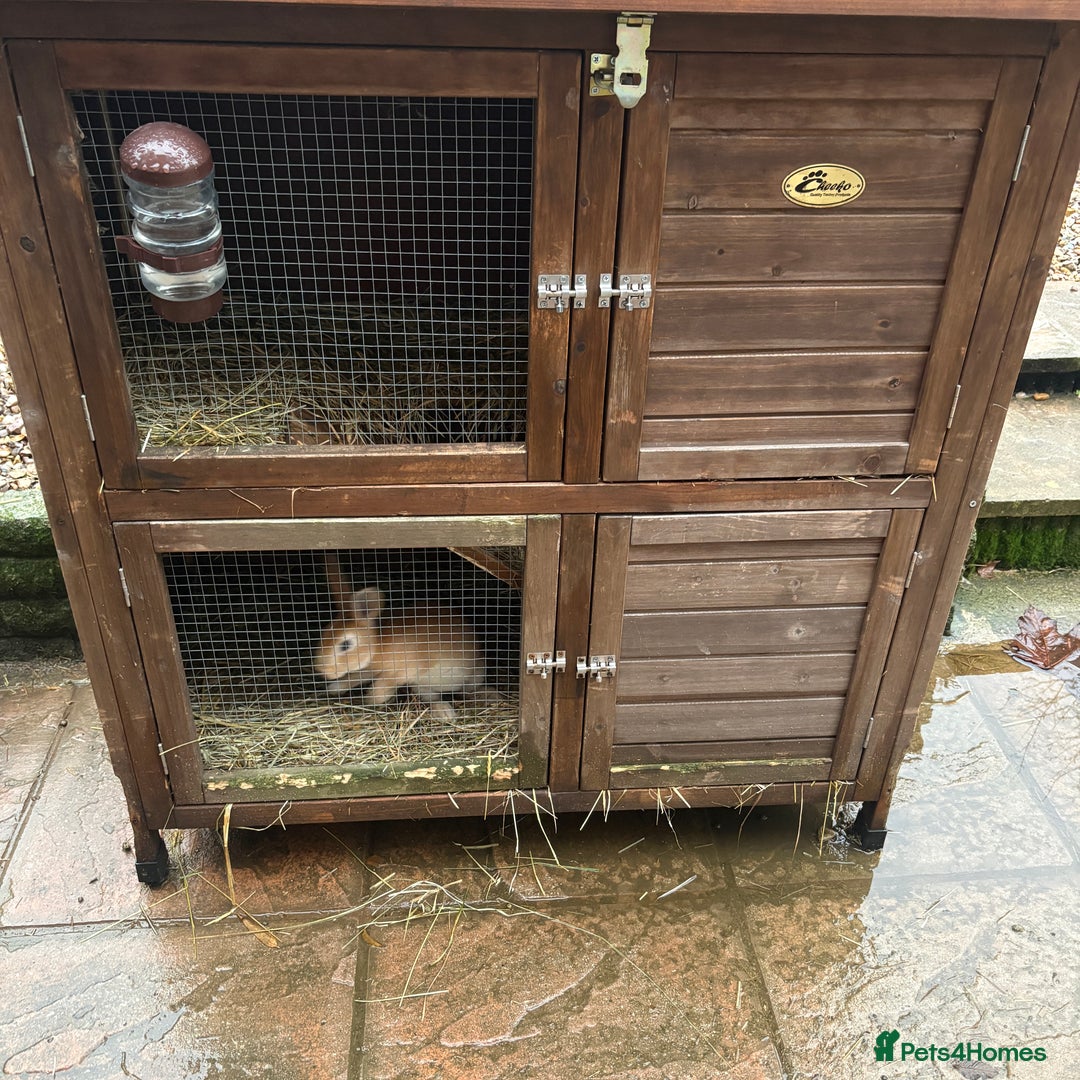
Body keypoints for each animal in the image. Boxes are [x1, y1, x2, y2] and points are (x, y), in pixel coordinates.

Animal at [315, 556, 486, 719]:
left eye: (345, 644)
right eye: (325, 631)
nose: (322, 670)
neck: (378, 647)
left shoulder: (404, 671)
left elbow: (381, 687)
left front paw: (370, 699)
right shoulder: (375, 670)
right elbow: (357, 676)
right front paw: (334, 688)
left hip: (475, 673)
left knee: (469, 691)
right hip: (422, 686)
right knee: (432, 698)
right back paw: (443, 711)